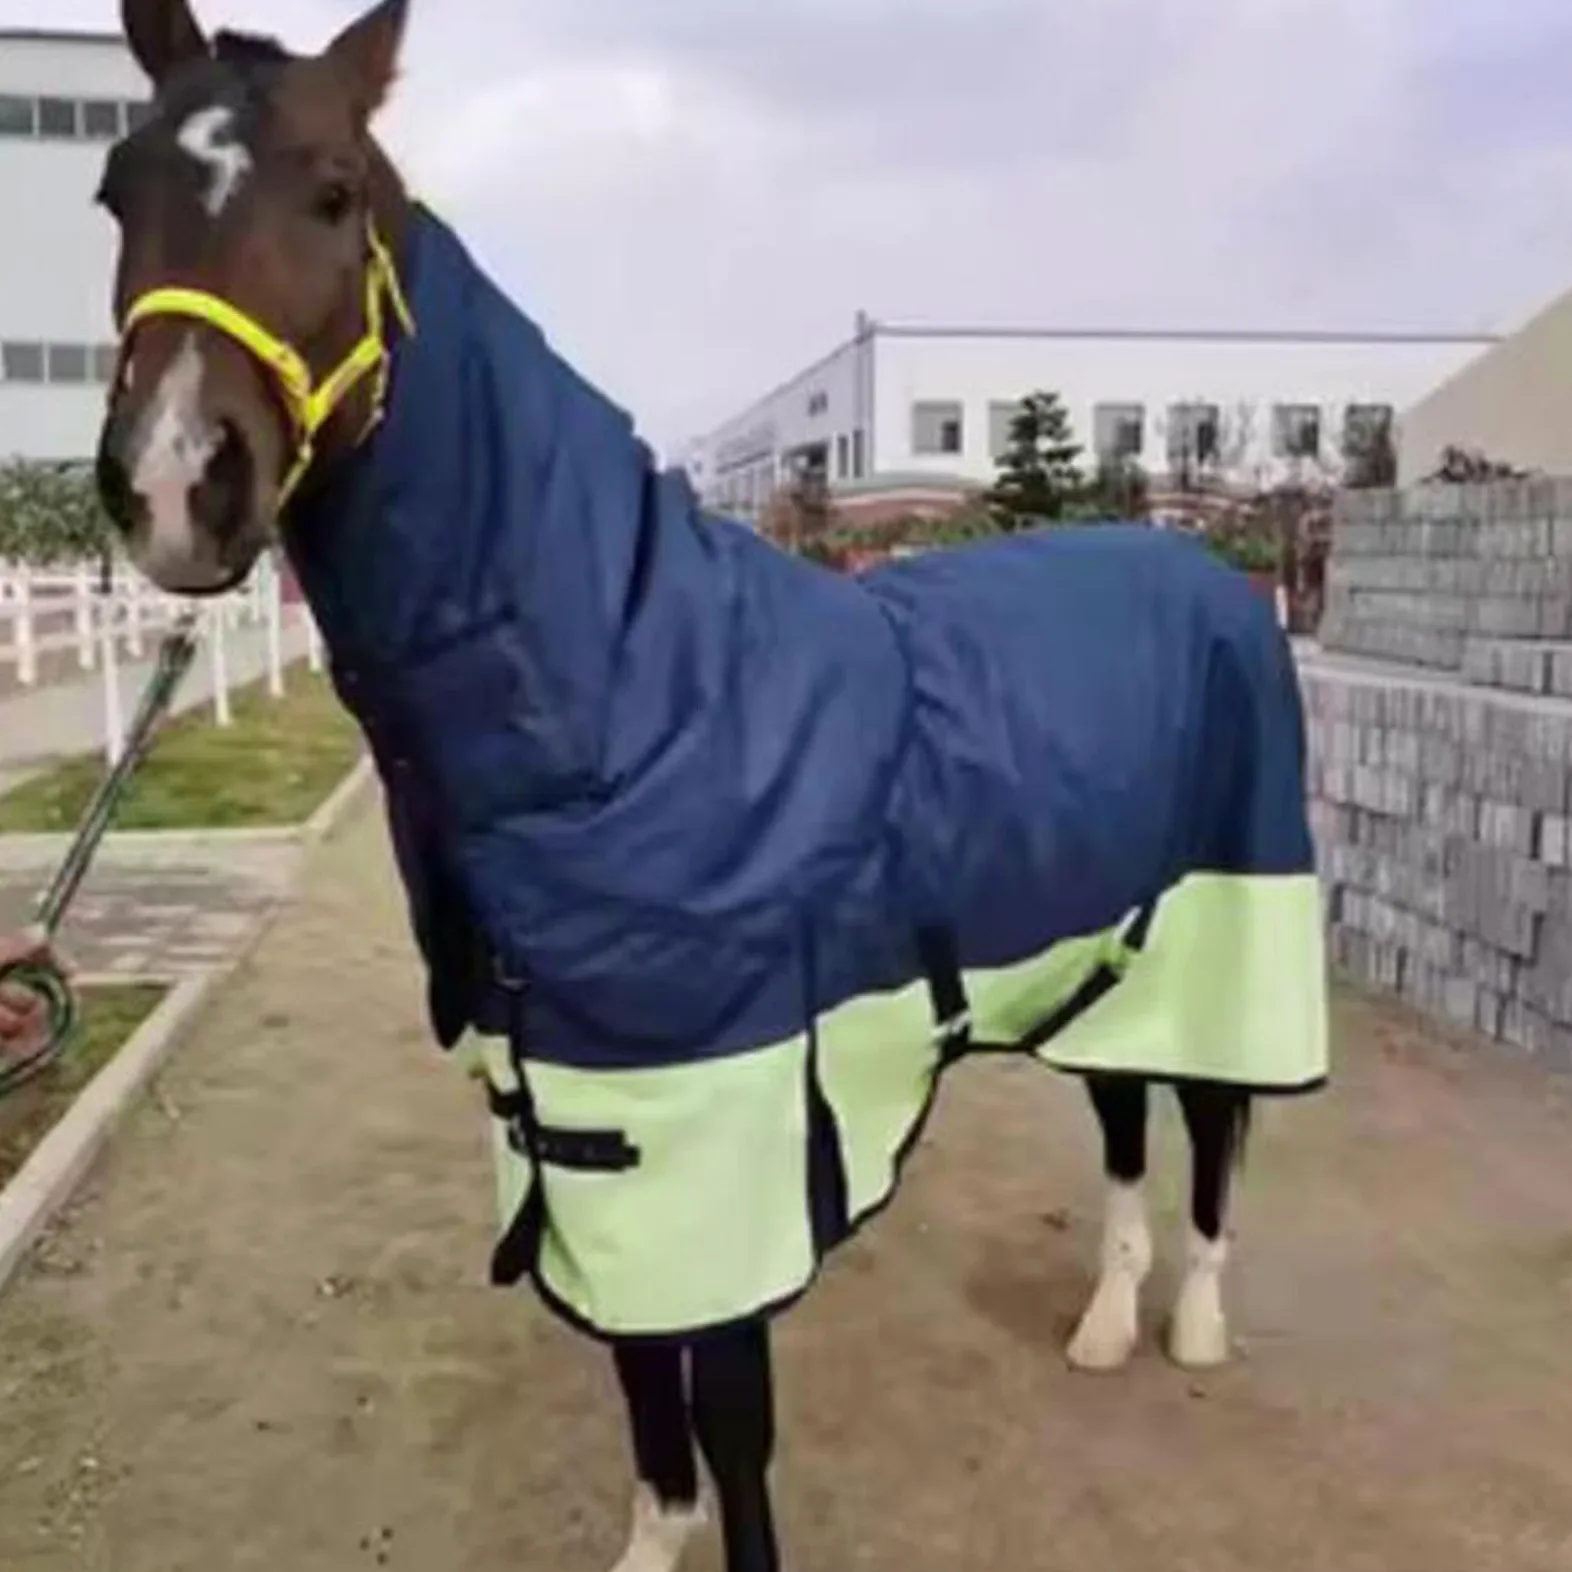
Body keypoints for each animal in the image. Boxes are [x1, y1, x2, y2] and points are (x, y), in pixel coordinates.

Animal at [93, 4, 1330, 1569]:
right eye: (114, 191)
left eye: (330, 191)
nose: (173, 487)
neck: (634, 689)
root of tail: (1212, 572)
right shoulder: (575, 1125)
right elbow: (642, 1389)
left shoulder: (724, 1125)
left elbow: (730, 1419)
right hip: (1103, 954)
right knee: (1121, 1120)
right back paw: (1108, 1325)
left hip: (1222, 930)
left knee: (1213, 1121)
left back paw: (1198, 1324)